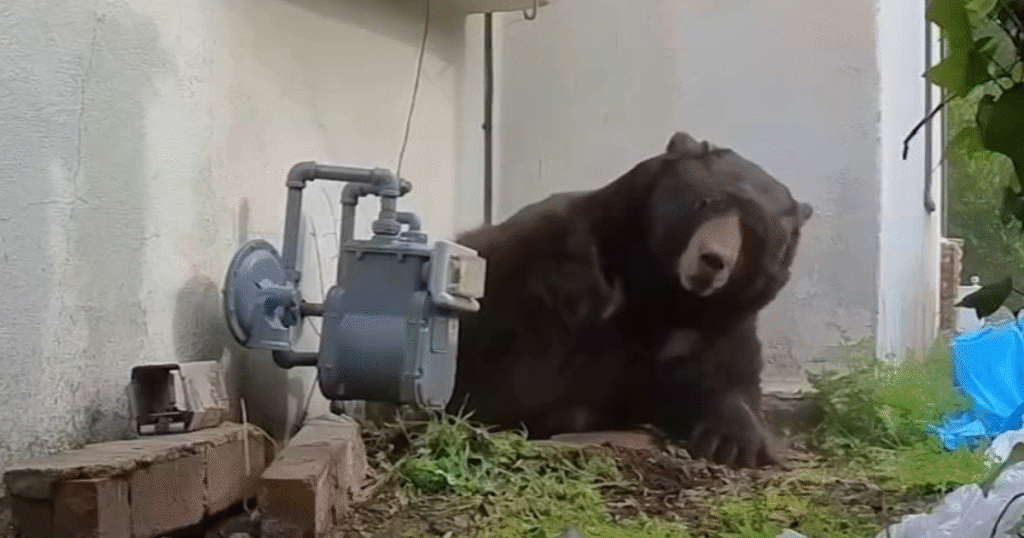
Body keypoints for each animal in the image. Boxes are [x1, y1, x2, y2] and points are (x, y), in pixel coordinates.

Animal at [448, 131, 813, 469]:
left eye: (754, 230)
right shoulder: (549, 263)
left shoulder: (722, 320)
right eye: (704, 202)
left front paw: (732, 441)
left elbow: (725, 375)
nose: (712, 259)